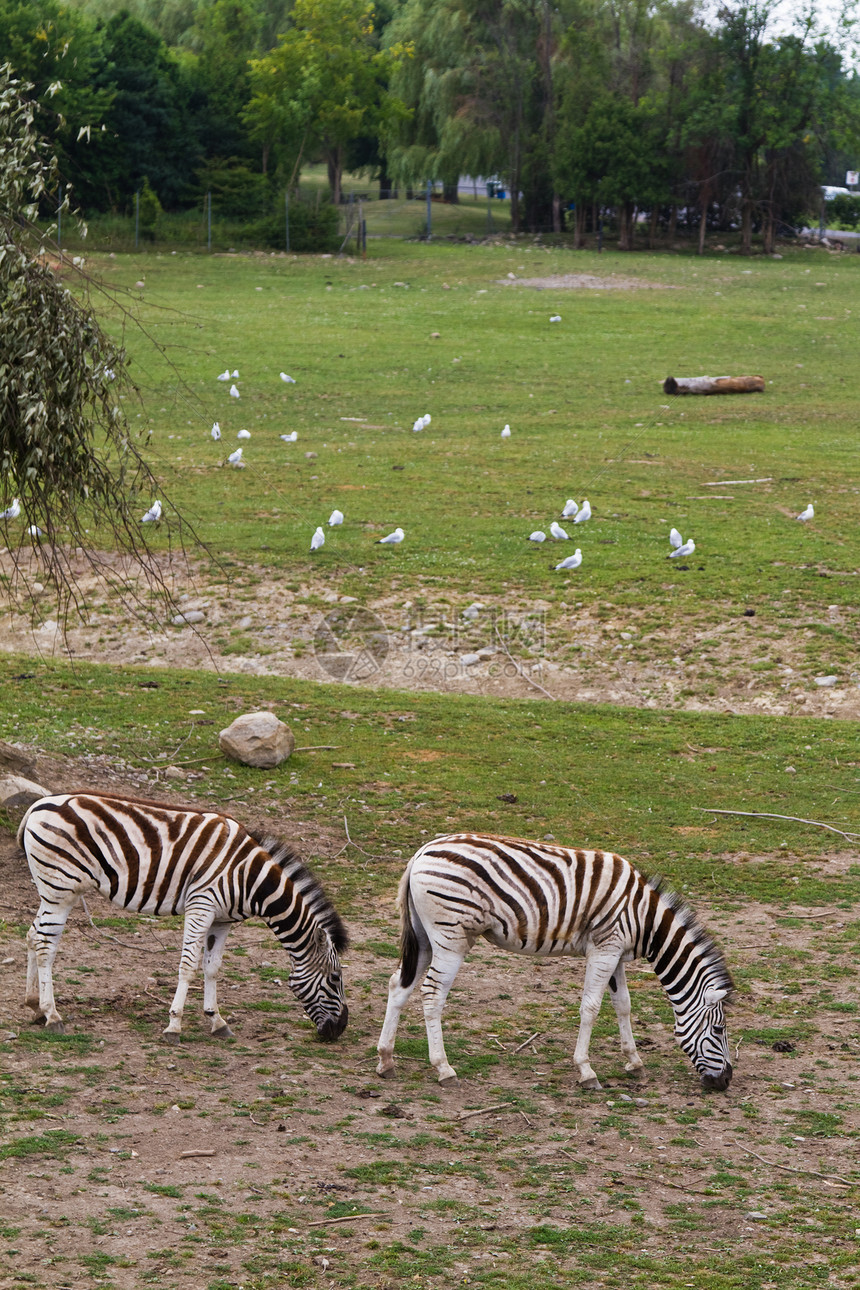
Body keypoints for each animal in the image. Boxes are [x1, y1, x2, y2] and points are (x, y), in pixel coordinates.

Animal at [16, 789, 348, 1042]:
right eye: (335, 977)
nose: (340, 1030)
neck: (250, 878)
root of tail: (38, 804)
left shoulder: (222, 920)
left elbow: (212, 968)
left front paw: (217, 1021)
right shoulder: (202, 904)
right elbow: (188, 966)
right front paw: (174, 1025)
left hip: (51, 891)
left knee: (32, 934)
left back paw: (34, 1006)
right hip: (61, 889)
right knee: (45, 944)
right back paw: (52, 1015)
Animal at [376, 830, 732, 1093]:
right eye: (718, 1029)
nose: (725, 1081)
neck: (645, 919)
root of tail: (421, 852)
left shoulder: (614, 952)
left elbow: (623, 1005)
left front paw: (634, 1061)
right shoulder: (604, 949)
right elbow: (591, 1007)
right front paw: (587, 1071)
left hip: (424, 936)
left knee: (399, 984)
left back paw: (386, 1060)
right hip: (450, 936)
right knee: (431, 994)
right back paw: (443, 1068)